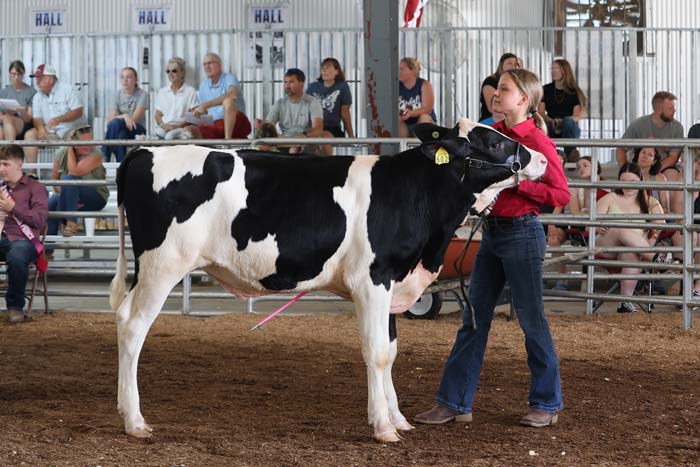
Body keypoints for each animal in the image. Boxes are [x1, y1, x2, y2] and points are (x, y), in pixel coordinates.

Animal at [109, 118, 548, 442]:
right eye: (492, 141)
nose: (542, 159)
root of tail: (144, 151)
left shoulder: (391, 282)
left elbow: (391, 352)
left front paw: (399, 418)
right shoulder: (371, 279)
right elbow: (376, 352)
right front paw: (383, 427)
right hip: (162, 264)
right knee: (132, 326)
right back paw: (135, 421)